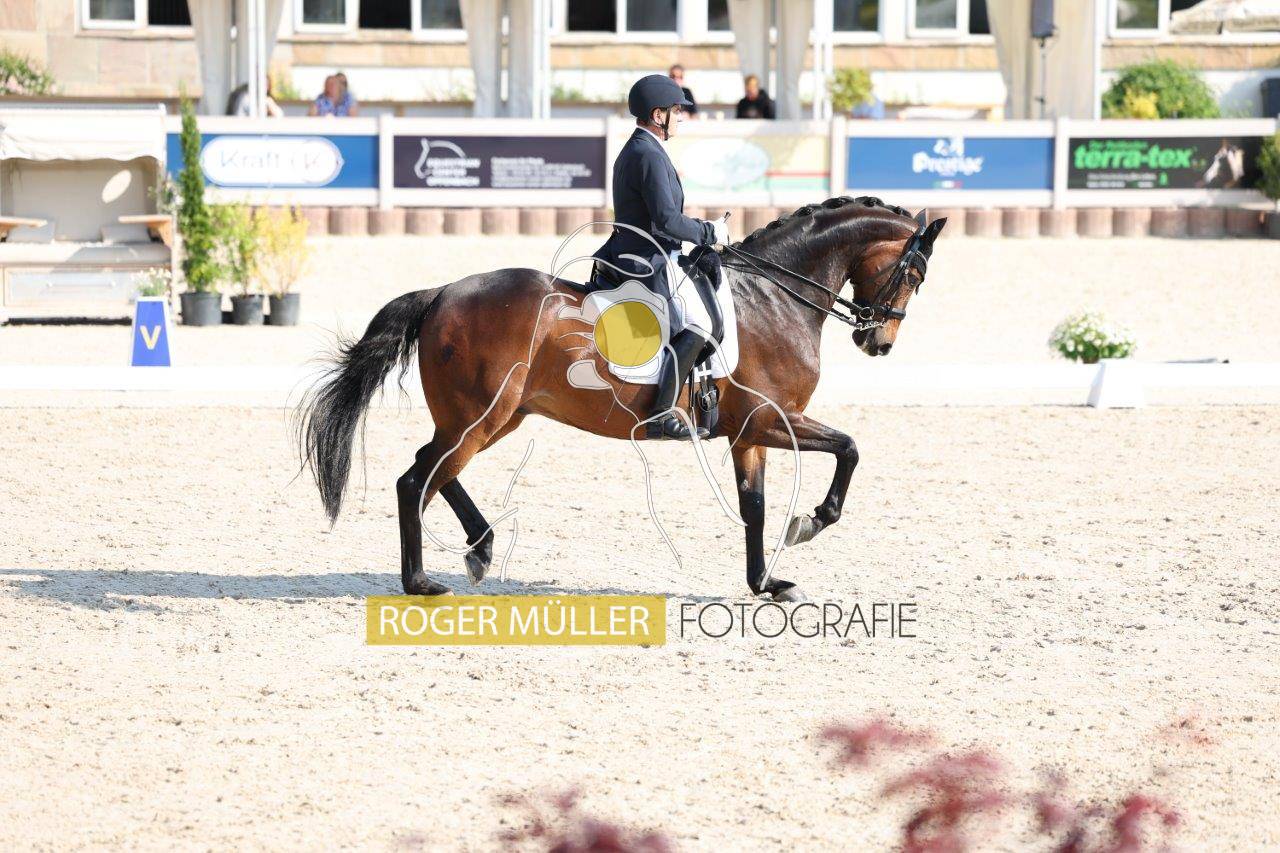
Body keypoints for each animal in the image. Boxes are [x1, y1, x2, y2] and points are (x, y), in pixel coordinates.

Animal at [297, 196, 946, 602]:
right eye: (913, 276)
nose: (878, 342)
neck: (776, 297)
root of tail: (442, 294)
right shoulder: (771, 420)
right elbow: (850, 448)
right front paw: (809, 524)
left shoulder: (749, 434)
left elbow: (755, 507)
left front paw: (767, 583)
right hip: (482, 416)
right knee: (418, 479)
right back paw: (421, 581)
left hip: (496, 417)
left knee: (435, 470)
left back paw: (480, 549)